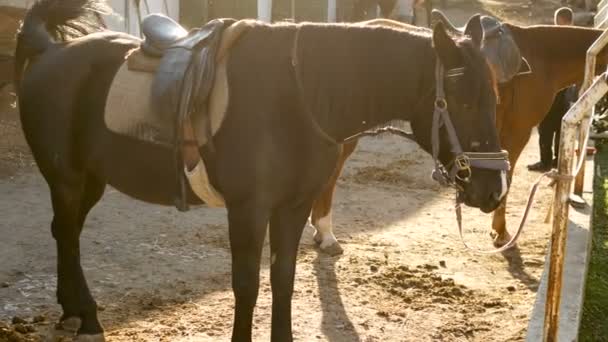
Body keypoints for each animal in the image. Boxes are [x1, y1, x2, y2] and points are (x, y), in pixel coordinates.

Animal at [15, 0, 508, 340]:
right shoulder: (248, 210)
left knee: (65, 233)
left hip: (91, 179)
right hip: (67, 179)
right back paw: (86, 316)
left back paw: (74, 310)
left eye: (495, 96)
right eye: (463, 98)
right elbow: (247, 285)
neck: (299, 94)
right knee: (67, 235)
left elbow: (283, 280)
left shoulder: (293, 206)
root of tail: (50, 52)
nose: (493, 189)